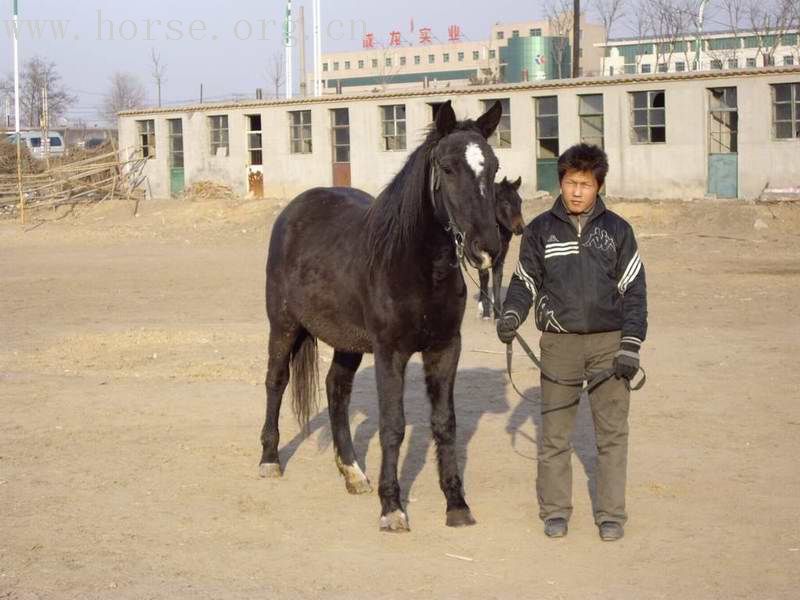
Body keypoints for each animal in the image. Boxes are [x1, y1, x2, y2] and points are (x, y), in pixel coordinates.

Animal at [260, 101, 504, 532]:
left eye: (492, 167)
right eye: (447, 168)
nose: (486, 248)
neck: (416, 264)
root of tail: (294, 209)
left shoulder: (445, 349)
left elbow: (445, 424)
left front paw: (456, 504)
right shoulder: (391, 352)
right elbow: (393, 426)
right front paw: (392, 507)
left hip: (347, 342)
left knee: (336, 389)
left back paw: (353, 472)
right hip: (284, 326)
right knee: (276, 381)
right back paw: (270, 461)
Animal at [476, 176, 524, 322]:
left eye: (520, 201)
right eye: (506, 202)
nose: (520, 229)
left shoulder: (502, 252)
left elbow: (497, 278)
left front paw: (498, 314)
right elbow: (484, 276)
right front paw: (486, 313)